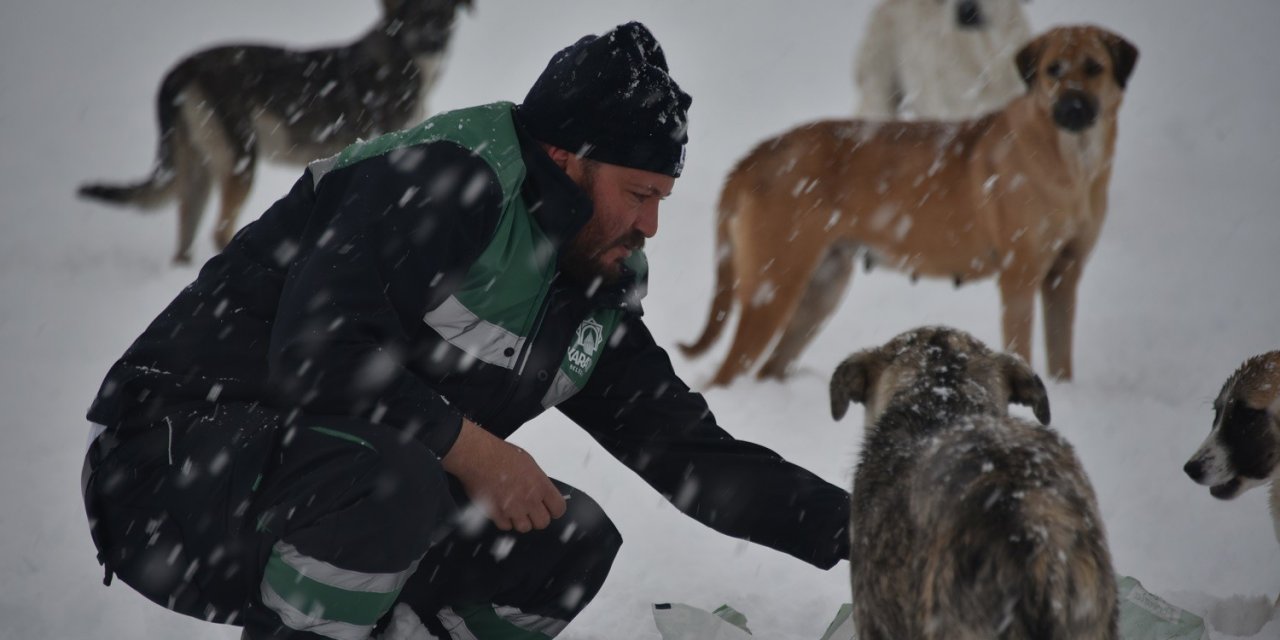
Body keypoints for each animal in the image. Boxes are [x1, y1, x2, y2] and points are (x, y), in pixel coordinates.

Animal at [77, 0, 473, 262]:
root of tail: (180, 70)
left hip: (198, 171)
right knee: (221, 231)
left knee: (185, 241)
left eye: (446, 15)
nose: (435, 43)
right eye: (414, 15)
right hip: (240, 159)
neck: (402, 58)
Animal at [680, 24, 1141, 384]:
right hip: (773, 286)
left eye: (1094, 68)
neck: (1072, 162)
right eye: (1052, 71)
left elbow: (1062, 358)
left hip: (820, 289)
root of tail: (754, 156)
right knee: (727, 375)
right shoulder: (1020, 277)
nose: (1072, 107)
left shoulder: (1064, 274)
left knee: (766, 370)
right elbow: (1021, 347)